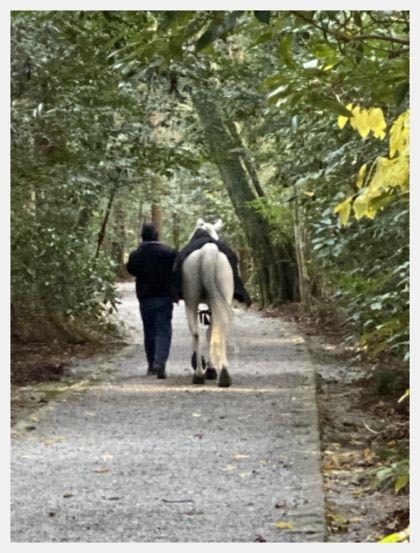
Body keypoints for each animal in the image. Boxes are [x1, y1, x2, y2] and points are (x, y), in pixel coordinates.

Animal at [182, 218, 235, 386]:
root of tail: (207, 251)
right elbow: (210, 332)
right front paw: (210, 368)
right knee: (214, 329)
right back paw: (215, 374)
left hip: (191, 300)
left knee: (197, 333)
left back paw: (204, 373)